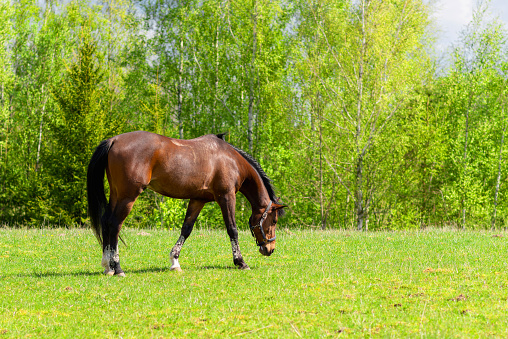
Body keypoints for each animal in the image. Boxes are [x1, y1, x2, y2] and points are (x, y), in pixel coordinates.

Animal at [87, 131, 286, 278]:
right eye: (274, 221)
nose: (270, 249)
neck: (232, 161)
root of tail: (114, 140)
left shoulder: (198, 200)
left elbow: (186, 229)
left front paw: (175, 261)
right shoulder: (226, 197)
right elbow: (232, 229)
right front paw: (240, 262)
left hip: (116, 194)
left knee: (106, 222)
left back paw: (108, 266)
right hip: (128, 196)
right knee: (115, 224)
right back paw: (118, 268)